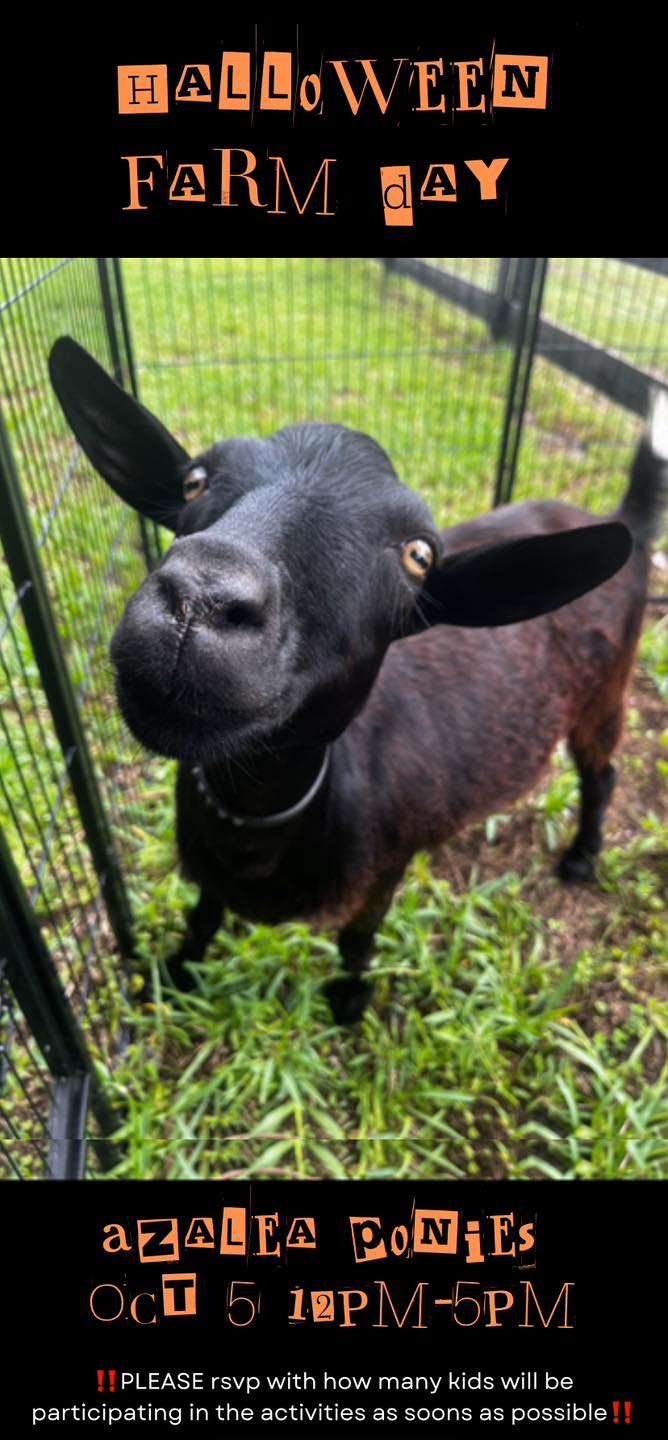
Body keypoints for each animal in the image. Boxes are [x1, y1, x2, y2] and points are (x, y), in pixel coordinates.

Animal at [49, 337, 666, 1024]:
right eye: (194, 480)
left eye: (419, 556)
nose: (200, 596)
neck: (256, 823)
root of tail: (621, 521)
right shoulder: (208, 869)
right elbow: (202, 918)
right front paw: (176, 974)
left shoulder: (385, 870)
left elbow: (355, 939)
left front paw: (348, 1001)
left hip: (605, 692)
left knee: (602, 774)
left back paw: (582, 857)